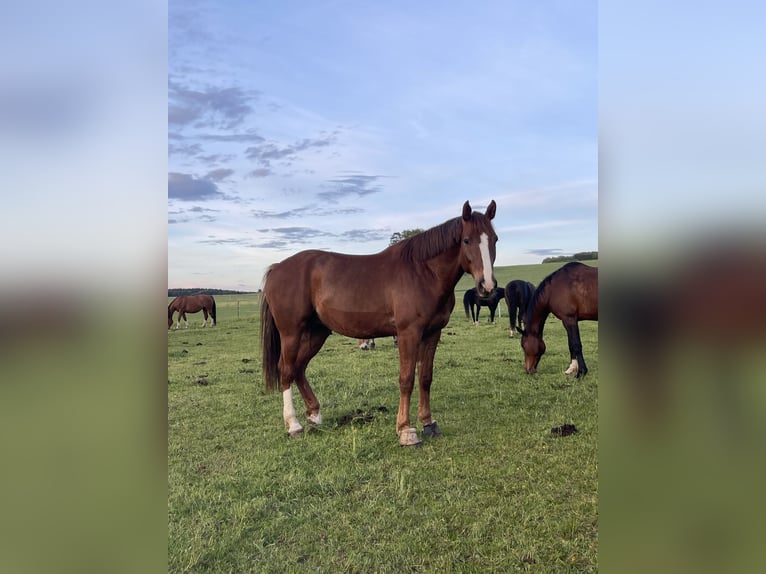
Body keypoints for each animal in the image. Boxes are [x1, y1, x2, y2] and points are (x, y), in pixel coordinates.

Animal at [261, 200, 498, 446]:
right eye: (466, 240)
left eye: (495, 239)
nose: (487, 287)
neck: (423, 272)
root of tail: (277, 268)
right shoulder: (408, 333)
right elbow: (406, 379)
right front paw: (406, 430)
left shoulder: (432, 333)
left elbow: (425, 377)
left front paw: (428, 423)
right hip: (291, 333)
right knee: (286, 370)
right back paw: (293, 425)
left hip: (317, 333)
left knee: (299, 368)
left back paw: (314, 415)